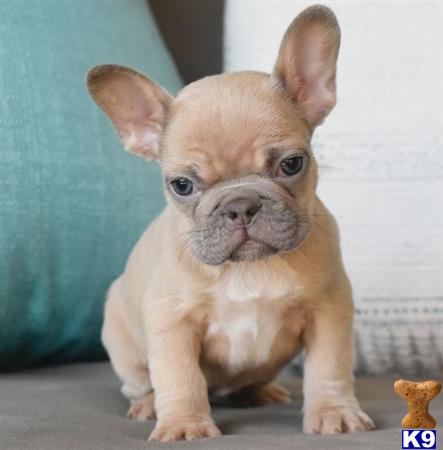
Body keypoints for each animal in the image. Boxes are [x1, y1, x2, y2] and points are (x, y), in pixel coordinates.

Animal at [86, 3, 374, 442]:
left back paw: (260, 392)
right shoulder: (173, 321)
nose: (240, 204)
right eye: (182, 185)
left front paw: (334, 412)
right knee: (144, 381)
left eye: (292, 164)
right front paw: (185, 424)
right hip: (123, 342)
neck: (248, 268)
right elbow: (179, 376)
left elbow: (329, 366)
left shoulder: (329, 309)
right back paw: (150, 405)